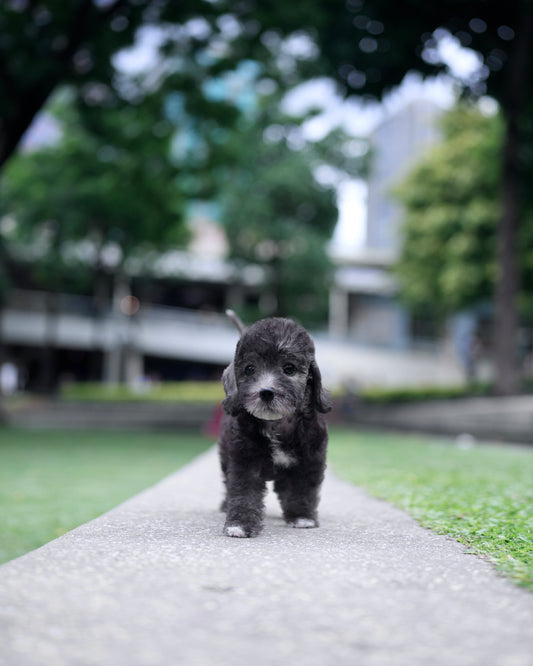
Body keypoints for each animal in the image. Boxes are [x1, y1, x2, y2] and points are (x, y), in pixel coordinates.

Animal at [218, 314, 330, 536]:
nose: (266, 392)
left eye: (289, 368)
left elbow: (302, 491)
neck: (276, 424)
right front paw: (240, 523)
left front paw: (302, 517)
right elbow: (243, 492)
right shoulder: (244, 461)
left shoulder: (308, 462)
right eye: (249, 369)